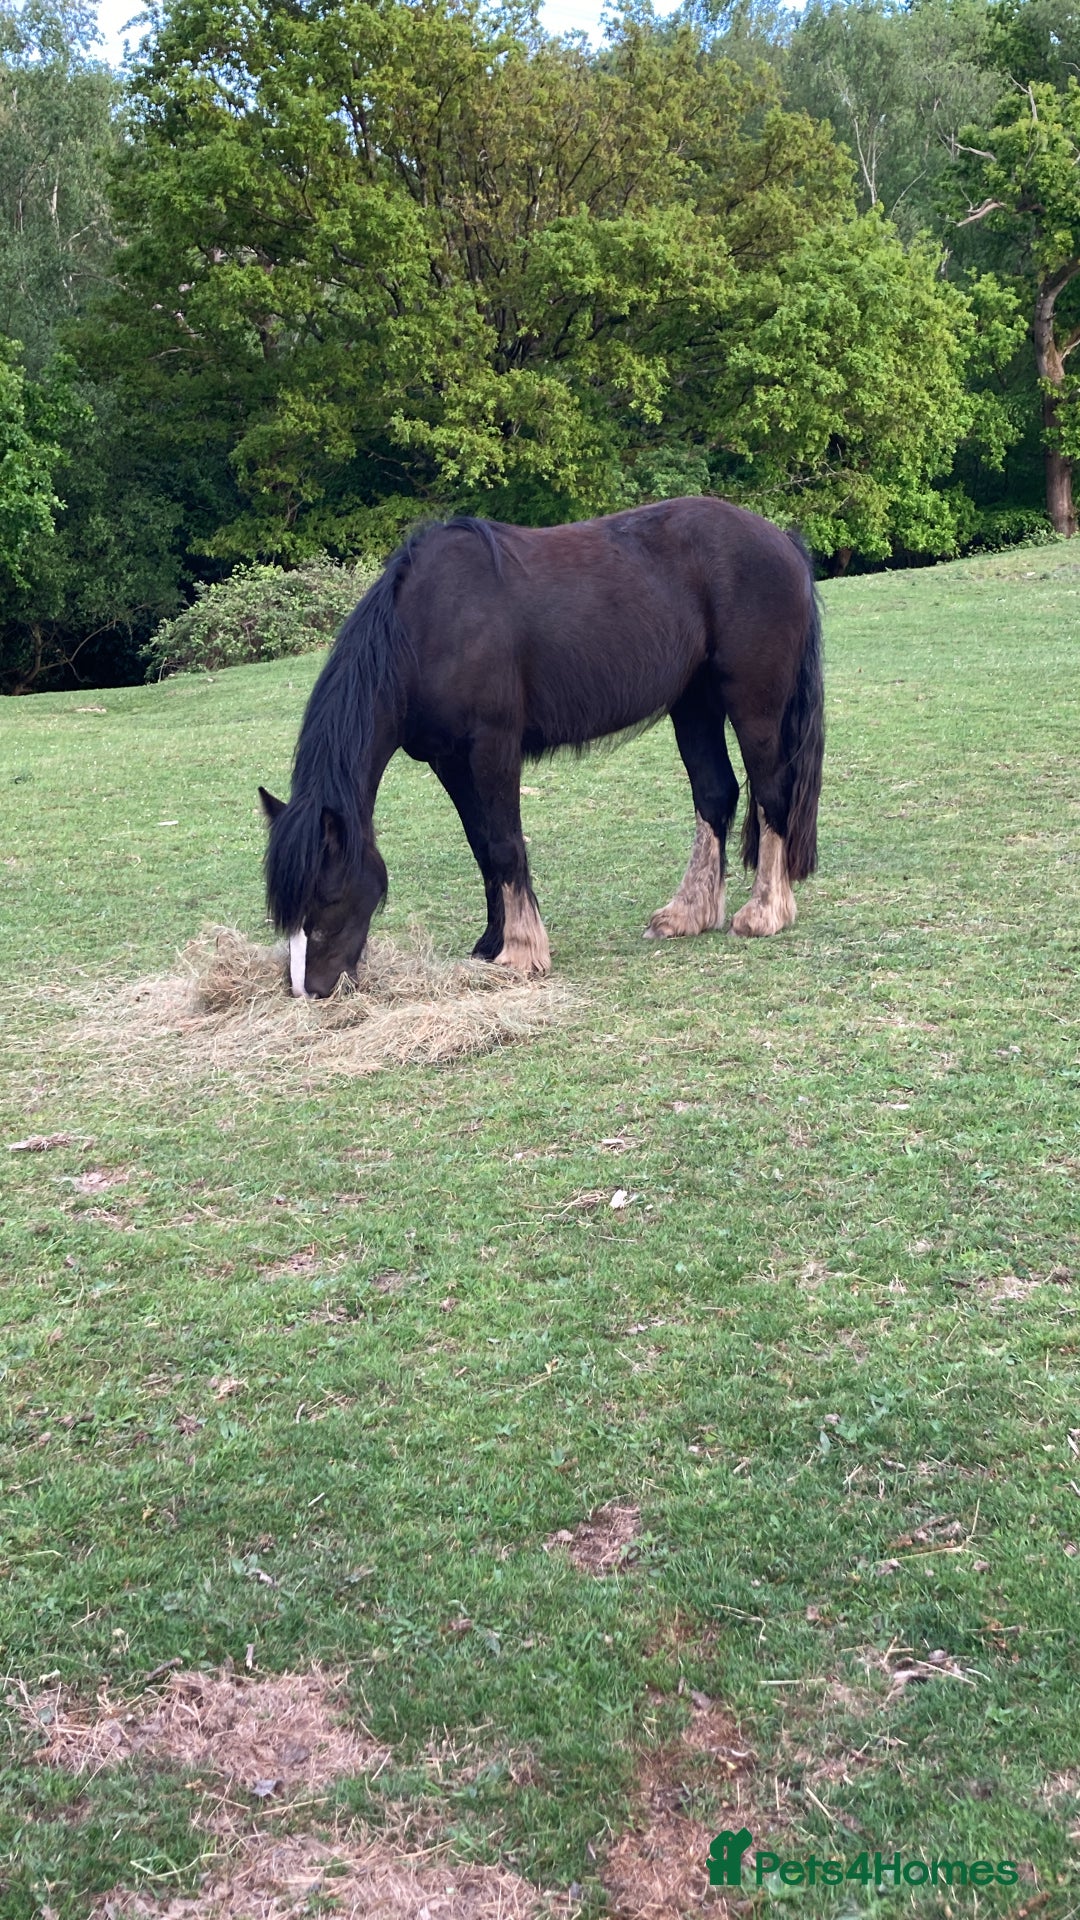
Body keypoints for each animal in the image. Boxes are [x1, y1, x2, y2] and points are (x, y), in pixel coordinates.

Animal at [258, 495, 824, 998]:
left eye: (327, 895)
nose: (308, 990)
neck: (427, 628)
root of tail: (783, 542)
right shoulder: (449, 760)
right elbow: (482, 845)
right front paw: (491, 944)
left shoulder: (492, 747)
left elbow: (505, 844)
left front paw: (522, 952)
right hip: (694, 703)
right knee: (715, 794)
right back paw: (687, 915)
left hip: (752, 706)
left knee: (772, 795)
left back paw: (764, 914)